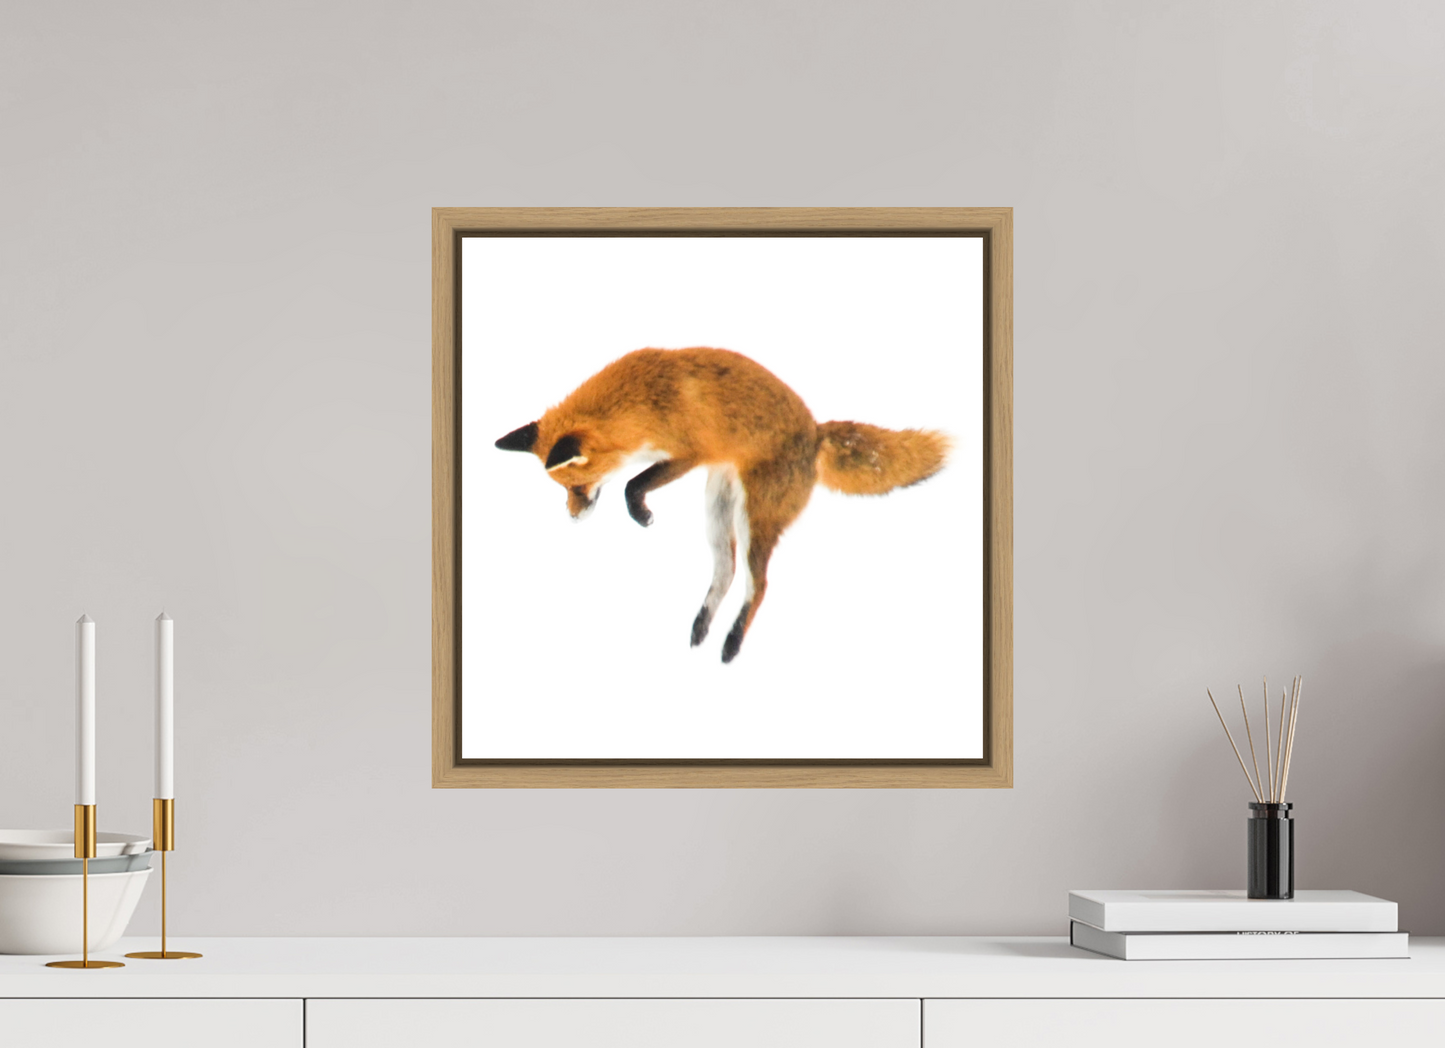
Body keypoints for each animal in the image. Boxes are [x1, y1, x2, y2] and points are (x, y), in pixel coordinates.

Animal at [495, 347, 949, 663]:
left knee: (758, 585)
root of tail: (816, 433)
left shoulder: (691, 453)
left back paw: (732, 643)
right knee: (727, 573)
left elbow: (631, 484)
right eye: (564, 489)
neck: (643, 401)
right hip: (717, 513)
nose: (572, 518)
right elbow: (632, 482)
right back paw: (702, 627)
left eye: (577, 485)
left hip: (754, 519)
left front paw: (641, 514)